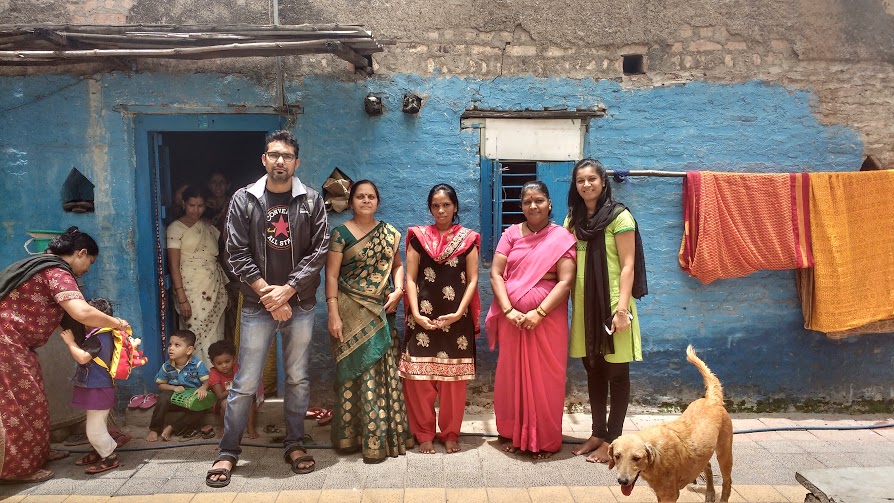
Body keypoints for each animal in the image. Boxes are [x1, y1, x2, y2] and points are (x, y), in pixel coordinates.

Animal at [608, 346, 736, 503]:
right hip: (704, 453)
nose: (622, 481)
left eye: (636, 458)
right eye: (617, 456)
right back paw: (710, 493)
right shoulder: (660, 493)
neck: (656, 457)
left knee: (727, 482)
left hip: (724, 453)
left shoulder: (669, 495)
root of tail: (711, 399)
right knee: (708, 466)